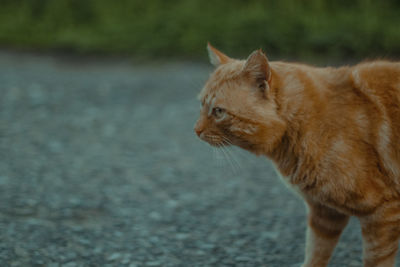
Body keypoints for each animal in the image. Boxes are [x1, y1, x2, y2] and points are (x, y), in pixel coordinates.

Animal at [195, 43, 400, 266]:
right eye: (201, 105)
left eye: (218, 111)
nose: (195, 130)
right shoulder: (325, 214)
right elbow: (315, 253)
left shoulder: (382, 213)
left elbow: (376, 260)